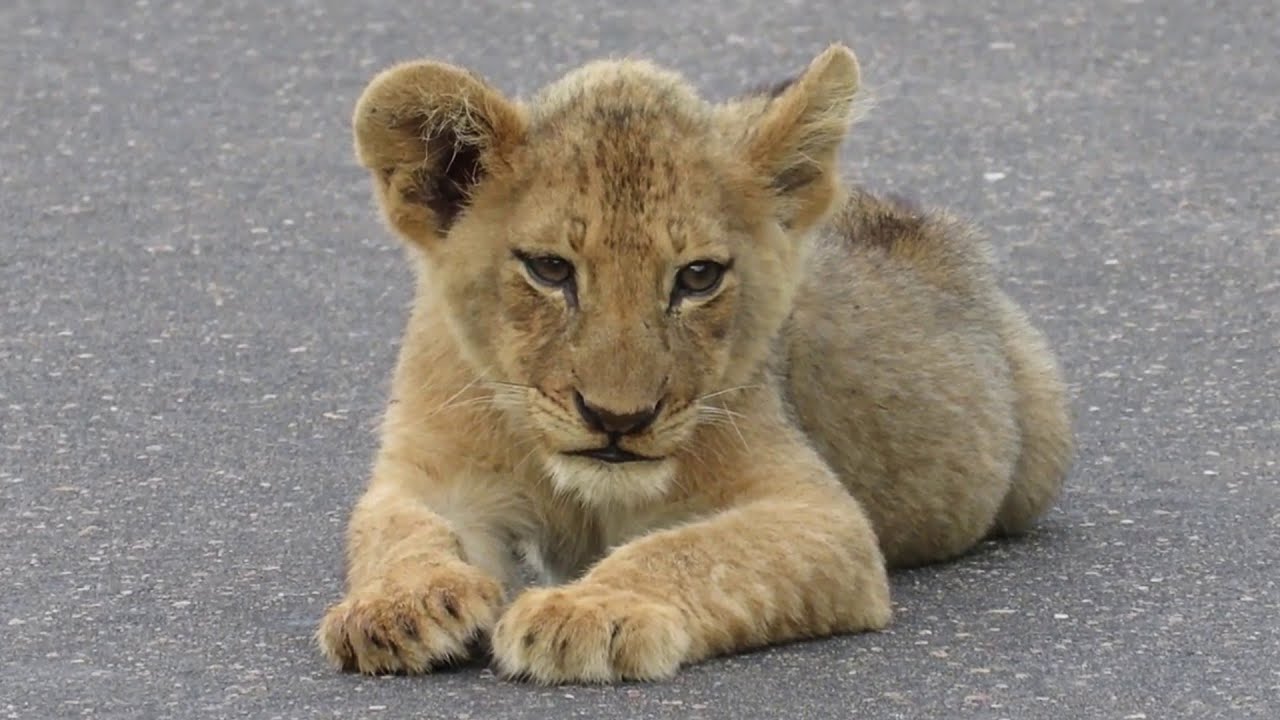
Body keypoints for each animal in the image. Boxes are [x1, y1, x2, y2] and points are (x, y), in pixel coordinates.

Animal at [315, 44, 1073, 684]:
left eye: (698, 277)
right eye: (551, 269)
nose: (618, 419)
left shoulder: (824, 520)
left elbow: (689, 552)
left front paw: (585, 612)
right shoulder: (431, 470)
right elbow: (396, 529)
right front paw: (396, 608)